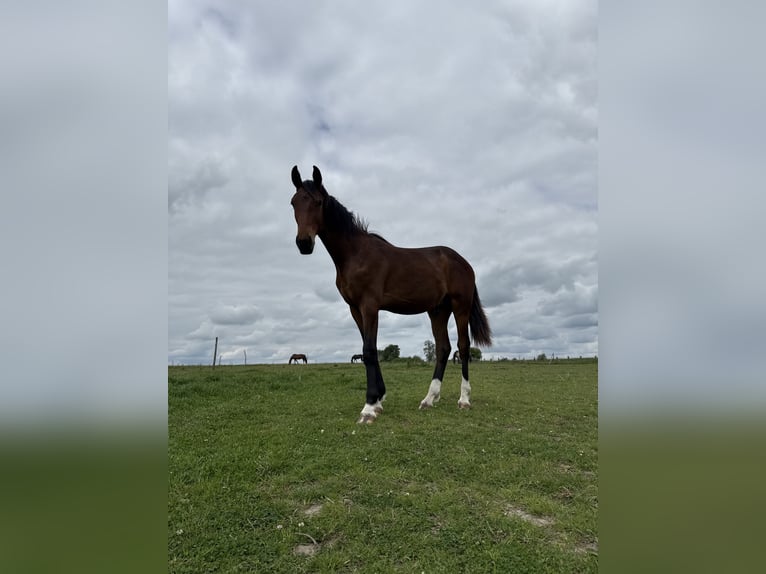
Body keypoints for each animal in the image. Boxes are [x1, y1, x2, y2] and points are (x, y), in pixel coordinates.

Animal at [290, 165, 492, 424]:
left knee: (463, 347)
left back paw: (464, 399)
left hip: (460, 306)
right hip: (438, 310)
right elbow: (371, 350)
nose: (304, 243)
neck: (356, 254)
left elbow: (368, 351)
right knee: (443, 348)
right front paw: (378, 401)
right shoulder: (355, 309)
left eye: (317, 202)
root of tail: (463, 262)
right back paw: (429, 399)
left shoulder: (369, 306)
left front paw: (368, 408)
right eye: (293, 203)